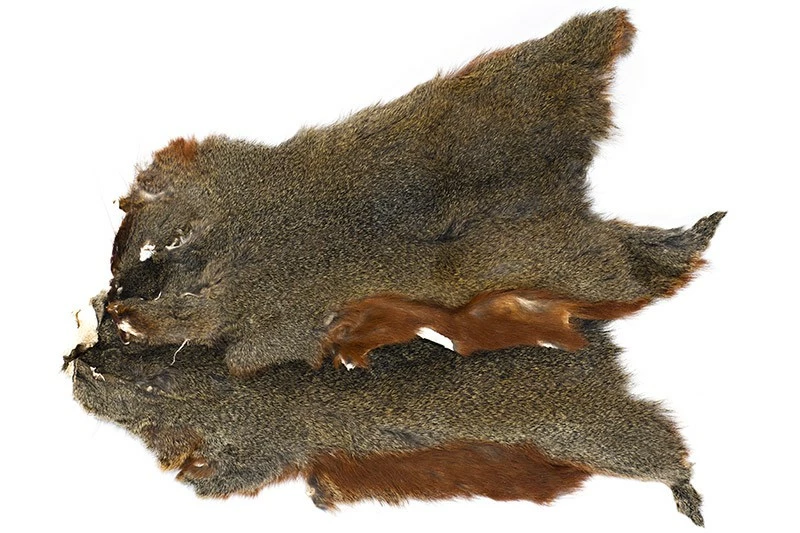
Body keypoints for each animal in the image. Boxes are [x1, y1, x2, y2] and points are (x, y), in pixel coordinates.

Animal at [68, 302, 704, 526]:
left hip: (592, 433)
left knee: (665, 443)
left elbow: (241, 472)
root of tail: (595, 359)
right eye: (114, 348)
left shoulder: (269, 442)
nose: (78, 360)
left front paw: (198, 481)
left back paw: (686, 493)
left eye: (117, 375)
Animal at [103, 9, 723, 375]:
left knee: (639, 267)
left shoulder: (274, 316)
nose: (114, 305)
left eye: (161, 300)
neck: (240, 250)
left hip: (574, 262)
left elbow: (246, 355)